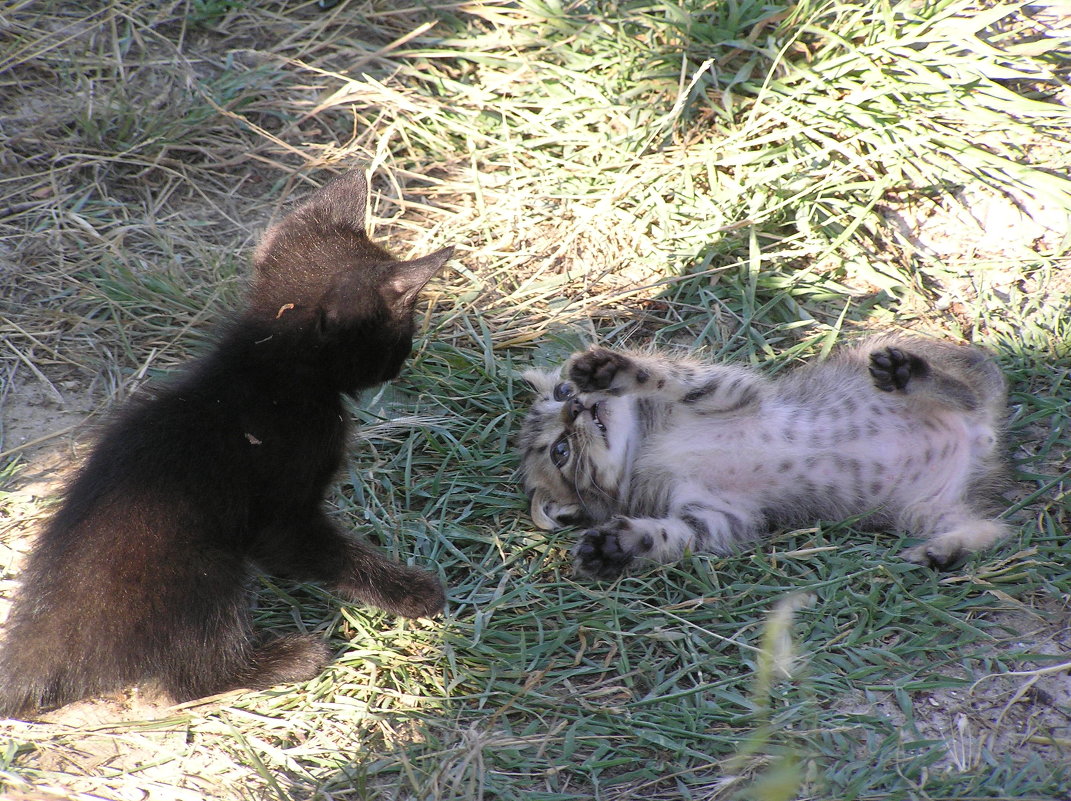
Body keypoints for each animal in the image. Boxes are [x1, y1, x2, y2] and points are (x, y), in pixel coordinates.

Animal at [0, 170, 451, 719]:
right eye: (403, 333)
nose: (403, 362)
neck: (269, 365)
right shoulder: (282, 514)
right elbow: (332, 553)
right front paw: (411, 591)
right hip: (207, 571)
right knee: (193, 677)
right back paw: (290, 658)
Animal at [522, 334, 1006, 578]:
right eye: (561, 451)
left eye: (562, 391)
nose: (576, 406)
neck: (647, 449)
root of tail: (979, 434)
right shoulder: (720, 517)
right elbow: (663, 536)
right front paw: (613, 546)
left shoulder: (727, 391)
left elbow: (666, 377)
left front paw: (610, 370)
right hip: (924, 510)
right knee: (994, 530)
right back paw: (943, 551)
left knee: (961, 391)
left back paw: (907, 372)